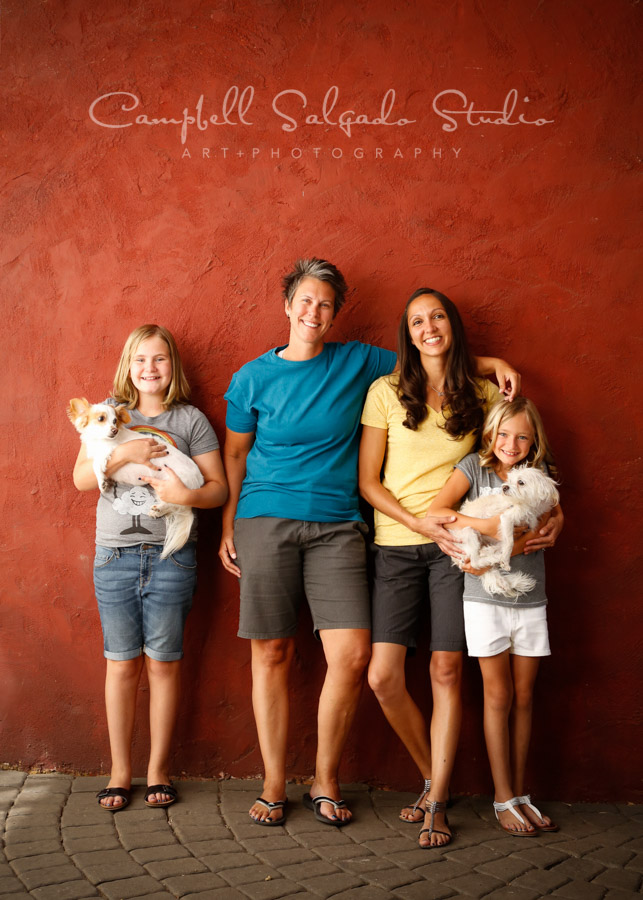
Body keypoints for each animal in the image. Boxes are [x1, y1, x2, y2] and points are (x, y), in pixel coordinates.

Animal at [68, 400, 204, 560]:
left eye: (115, 421)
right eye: (101, 419)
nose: (114, 430)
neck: (99, 441)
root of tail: (198, 482)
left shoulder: (108, 452)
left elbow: (97, 464)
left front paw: (102, 481)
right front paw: (107, 481)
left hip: (174, 487)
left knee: (177, 505)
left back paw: (159, 509)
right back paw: (158, 510)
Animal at [452, 464, 560, 596]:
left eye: (520, 482)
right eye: (509, 480)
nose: (504, 487)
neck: (527, 505)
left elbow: (502, 545)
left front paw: (492, 552)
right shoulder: (507, 519)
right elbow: (510, 543)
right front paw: (505, 560)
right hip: (470, 533)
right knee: (474, 562)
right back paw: (494, 558)